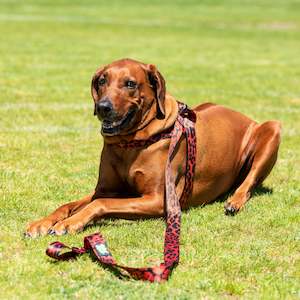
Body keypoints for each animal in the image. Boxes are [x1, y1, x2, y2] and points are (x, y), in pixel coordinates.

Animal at [25, 58, 282, 237]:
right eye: (102, 81)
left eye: (130, 83)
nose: (102, 107)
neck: (129, 143)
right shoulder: (106, 189)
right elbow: (70, 204)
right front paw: (42, 222)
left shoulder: (158, 200)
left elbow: (100, 204)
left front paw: (70, 223)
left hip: (272, 128)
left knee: (248, 183)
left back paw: (235, 201)